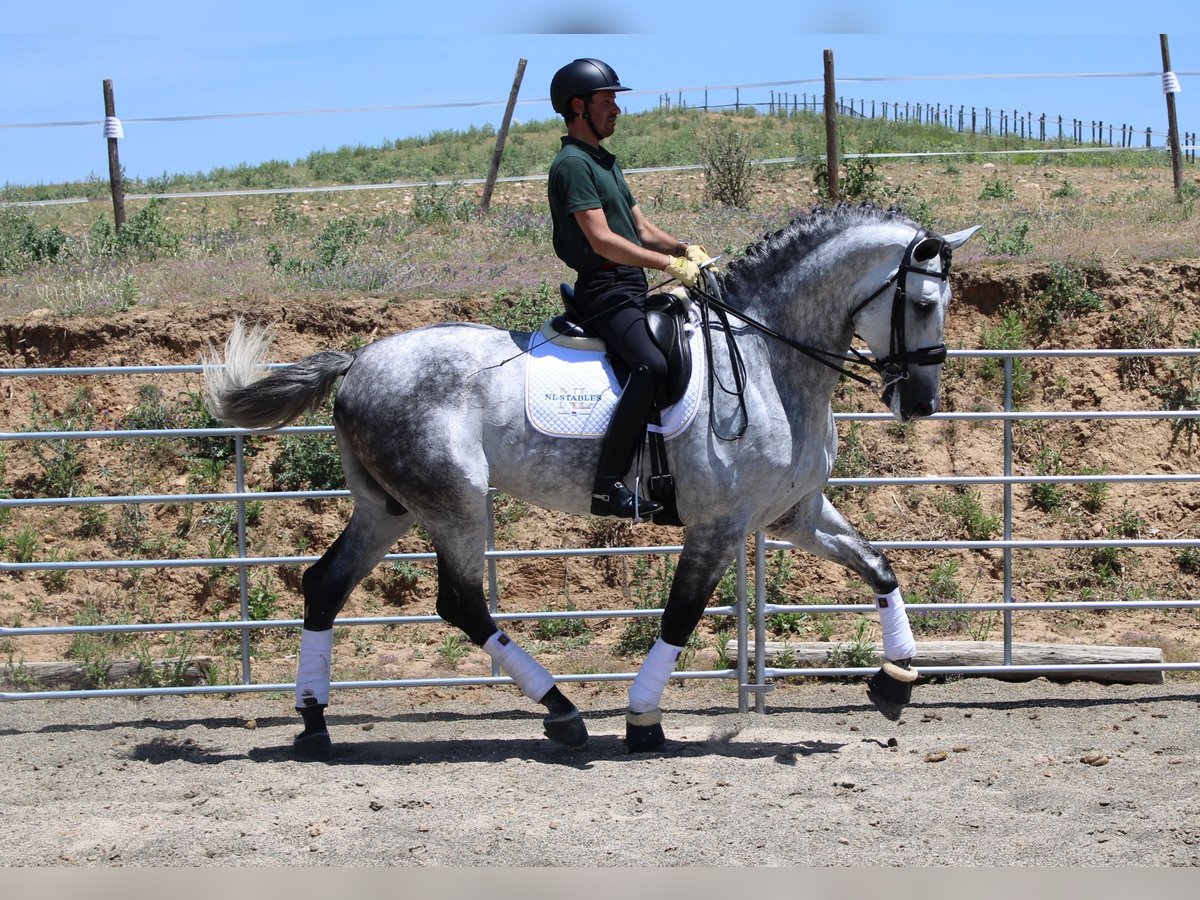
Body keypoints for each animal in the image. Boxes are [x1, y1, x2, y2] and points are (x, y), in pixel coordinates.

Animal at [204, 203, 979, 759]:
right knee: (461, 603)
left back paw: (314, 724)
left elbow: (880, 567)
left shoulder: (796, 513)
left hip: (388, 506)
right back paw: (562, 712)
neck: (767, 355)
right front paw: (641, 720)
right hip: (454, 503)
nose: (920, 403)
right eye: (920, 305)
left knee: (326, 585)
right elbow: (680, 616)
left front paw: (896, 682)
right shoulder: (720, 523)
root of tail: (359, 362)